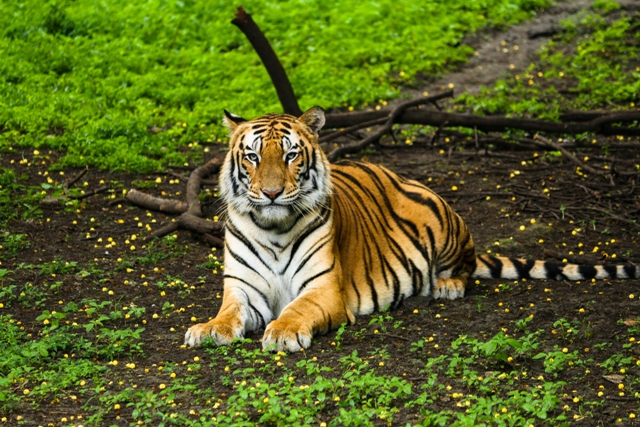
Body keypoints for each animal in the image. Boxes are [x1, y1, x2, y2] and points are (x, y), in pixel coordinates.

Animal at [184, 107, 639, 352]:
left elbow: (297, 309)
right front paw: (207, 329)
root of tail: (394, 172)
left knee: (466, 265)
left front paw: (282, 332)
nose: (273, 193)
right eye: (253, 157)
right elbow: (228, 313)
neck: (273, 227)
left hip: (445, 220)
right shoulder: (243, 289)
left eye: (292, 155)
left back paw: (448, 286)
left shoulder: (324, 290)